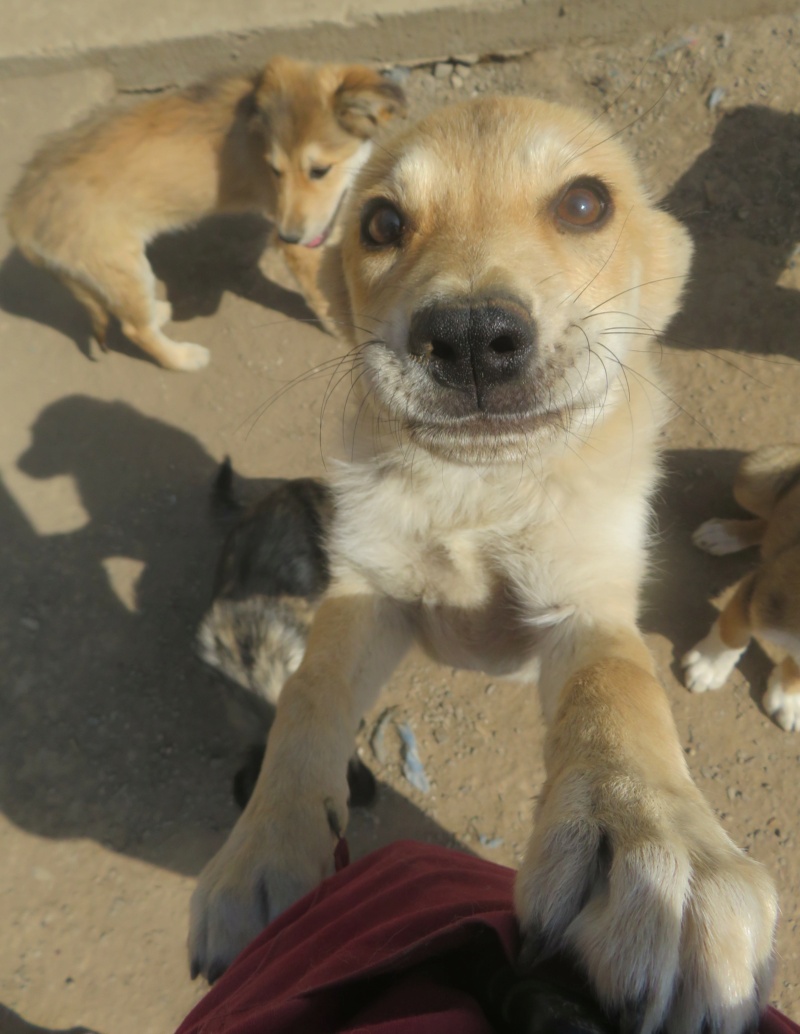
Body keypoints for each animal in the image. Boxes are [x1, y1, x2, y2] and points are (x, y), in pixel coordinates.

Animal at [4, 56, 407, 372]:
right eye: (274, 170)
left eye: (319, 170)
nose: (288, 235)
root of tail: (18, 211)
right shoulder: (300, 245)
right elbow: (324, 295)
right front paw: (341, 327)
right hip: (121, 266)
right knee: (137, 330)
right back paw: (184, 359)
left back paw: (159, 310)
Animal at [186, 98, 777, 1034]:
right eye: (381, 223)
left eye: (585, 203)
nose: (468, 338)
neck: (479, 493)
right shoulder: (364, 590)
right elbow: (307, 696)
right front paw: (263, 847)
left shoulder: (584, 605)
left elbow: (620, 692)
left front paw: (657, 853)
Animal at [678, 442, 800, 727]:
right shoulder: (758, 589)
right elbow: (732, 634)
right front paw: (708, 667)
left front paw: (788, 699)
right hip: (753, 477)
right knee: (770, 522)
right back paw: (723, 535)